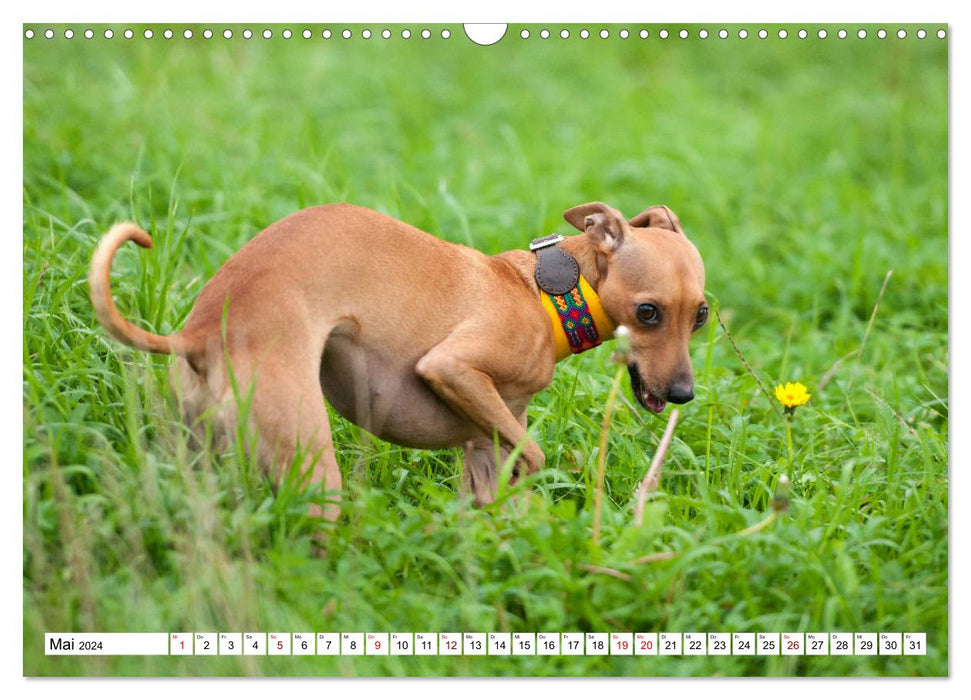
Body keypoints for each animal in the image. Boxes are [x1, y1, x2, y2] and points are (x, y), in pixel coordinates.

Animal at [89, 201, 708, 520]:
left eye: (700, 314)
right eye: (648, 312)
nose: (683, 395)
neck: (541, 292)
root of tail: (195, 334)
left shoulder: (484, 445)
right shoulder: (451, 368)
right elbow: (531, 457)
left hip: (198, 455)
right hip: (312, 464)